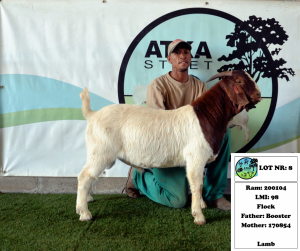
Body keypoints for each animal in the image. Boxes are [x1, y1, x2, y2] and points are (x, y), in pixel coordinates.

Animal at [76, 70, 262, 226]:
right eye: (239, 81)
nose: (259, 95)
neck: (206, 116)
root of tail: (92, 114)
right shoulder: (196, 157)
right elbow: (197, 184)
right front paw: (199, 216)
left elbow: (199, 183)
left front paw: (202, 204)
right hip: (101, 153)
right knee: (84, 176)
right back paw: (84, 213)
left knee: (88, 176)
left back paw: (87, 201)